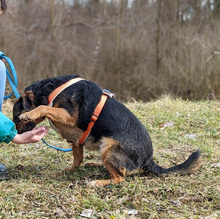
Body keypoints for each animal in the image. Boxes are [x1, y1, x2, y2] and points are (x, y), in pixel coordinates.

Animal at [12, 75, 203, 186]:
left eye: (15, 117)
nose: (16, 134)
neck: (52, 90)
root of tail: (148, 160)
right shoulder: (75, 139)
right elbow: (77, 157)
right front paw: (72, 169)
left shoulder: (69, 115)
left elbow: (44, 107)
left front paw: (30, 113)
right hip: (105, 148)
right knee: (118, 169)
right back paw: (95, 164)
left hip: (109, 146)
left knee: (120, 177)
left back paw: (97, 182)